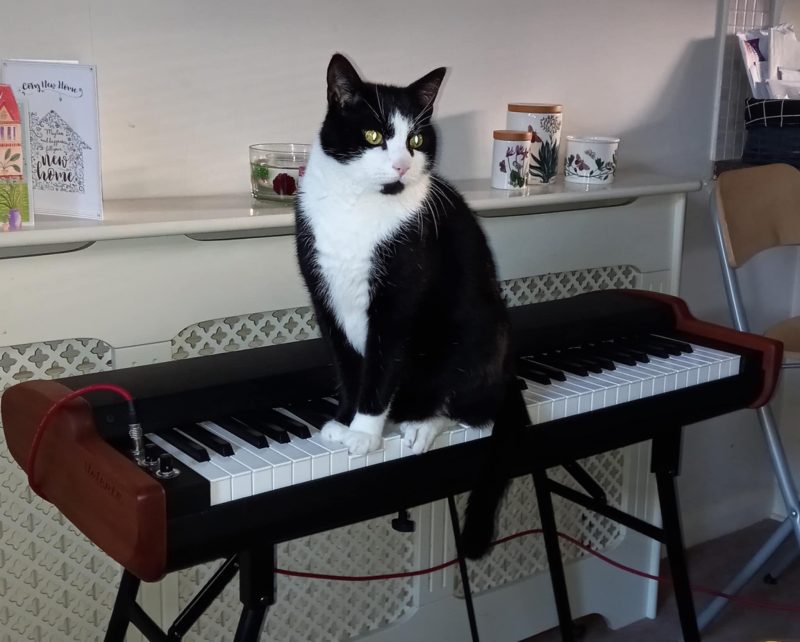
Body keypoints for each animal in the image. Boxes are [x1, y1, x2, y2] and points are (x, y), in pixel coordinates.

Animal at [294, 53, 524, 556]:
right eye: (373, 135)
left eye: (416, 140)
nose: (401, 165)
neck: (357, 208)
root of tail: (507, 374)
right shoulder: (324, 295)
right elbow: (348, 364)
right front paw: (344, 420)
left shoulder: (398, 299)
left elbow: (381, 367)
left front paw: (364, 433)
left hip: (477, 334)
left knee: (473, 407)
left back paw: (422, 424)